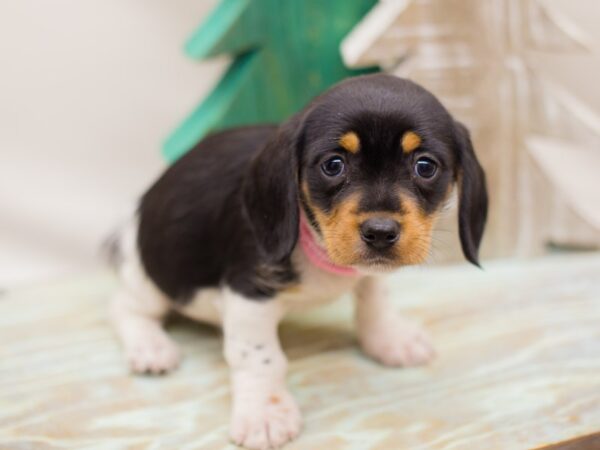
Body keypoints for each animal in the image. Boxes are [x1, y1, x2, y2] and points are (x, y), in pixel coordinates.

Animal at [108, 74, 488, 450]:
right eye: (333, 165)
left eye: (425, 166)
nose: (380, 232)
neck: (319, 249)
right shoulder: (249, 294)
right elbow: (261, 358)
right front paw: (264, 412)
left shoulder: (370, 275)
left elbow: (375, 300)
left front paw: (390, 337)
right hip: (152, 276)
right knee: (126, 307)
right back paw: (151, 346)